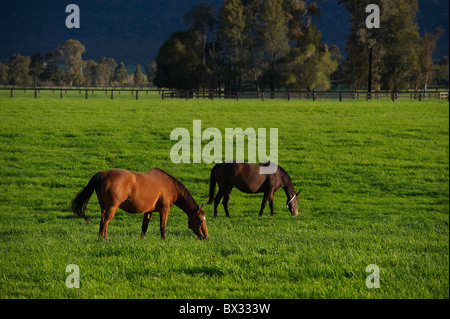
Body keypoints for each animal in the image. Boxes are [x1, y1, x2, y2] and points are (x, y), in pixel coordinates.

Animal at [71, 168, 209, 240]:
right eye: (200, 220)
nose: (206, 236)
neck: (169, 186)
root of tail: (104, 173)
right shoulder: (164, 209)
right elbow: (163, 226)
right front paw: (163, 240)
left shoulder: (148, 211)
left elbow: (144, 227)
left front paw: (141, 239)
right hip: (111, 207)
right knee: (105, 222)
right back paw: (104, 239)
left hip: (103, 207)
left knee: (103, 222)